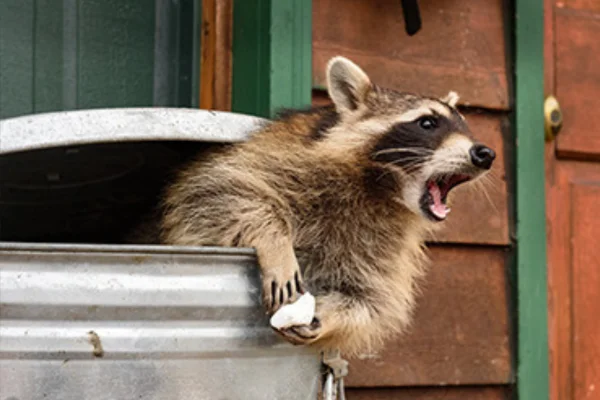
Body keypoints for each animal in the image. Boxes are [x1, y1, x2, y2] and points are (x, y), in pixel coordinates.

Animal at [154, 57, 492, 356]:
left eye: (465, 126)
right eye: (427, 122)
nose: (485, 153)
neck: (382, 190)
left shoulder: (383, 246)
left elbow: (371, 299)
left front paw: (329, 315)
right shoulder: (274, 158)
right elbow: (215, 191)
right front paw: (274, 240)